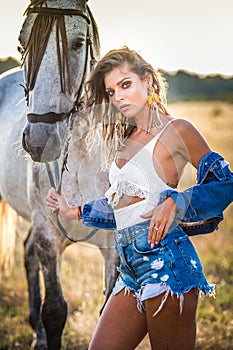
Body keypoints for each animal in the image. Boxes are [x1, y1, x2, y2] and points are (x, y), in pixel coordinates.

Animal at [0, 1, 119, 348]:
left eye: (77, 43)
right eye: (21, 45)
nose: (40, 142)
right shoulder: (47, 234)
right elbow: (54, 310)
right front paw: (46, 326)